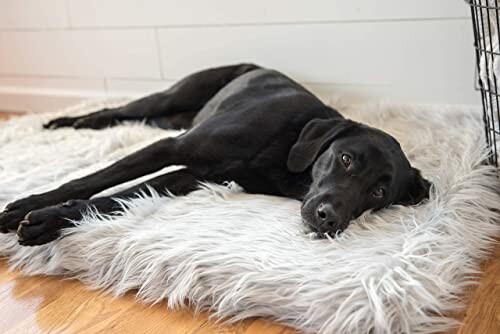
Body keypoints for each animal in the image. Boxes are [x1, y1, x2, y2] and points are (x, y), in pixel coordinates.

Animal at [0, 64, 430, 245]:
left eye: (379, 193)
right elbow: (91, 180)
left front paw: (49, 222)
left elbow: (115, 198)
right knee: (116, 110)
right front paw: (25, 207)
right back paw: (67, 122)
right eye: (345, 159)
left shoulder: (189, 175)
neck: (287, 150)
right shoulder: (174, 148)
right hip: (173, 96)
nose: (330, 220)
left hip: (169, 118)